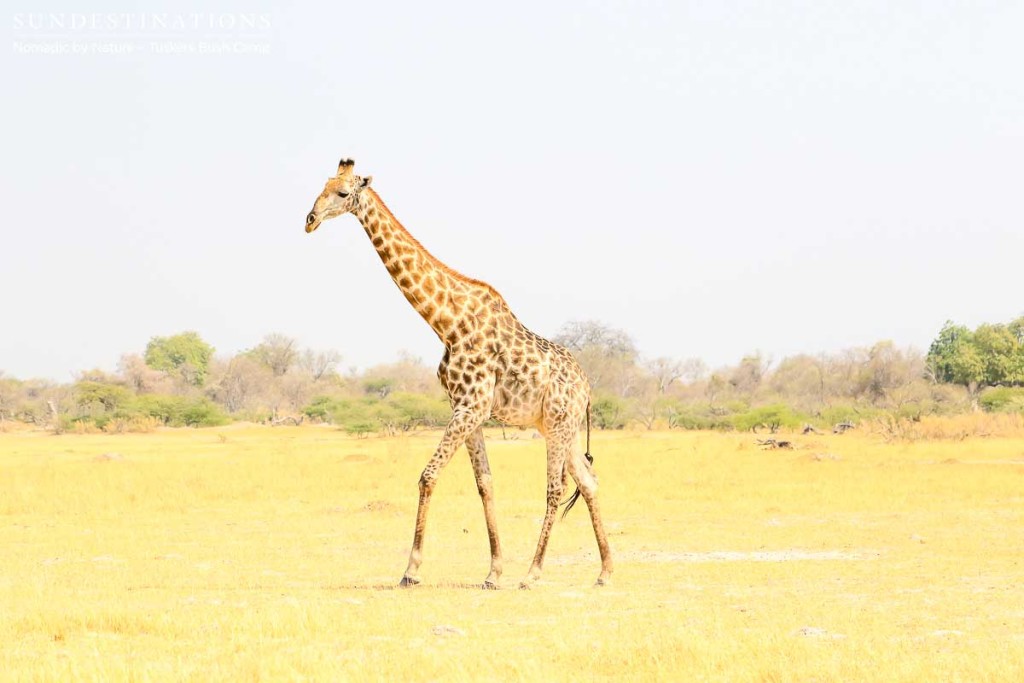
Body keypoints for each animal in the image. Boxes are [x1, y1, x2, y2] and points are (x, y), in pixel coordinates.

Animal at [301, 158, 606, 589]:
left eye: (343, 193)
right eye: (323, 185)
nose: (309, 220)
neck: (446, 322)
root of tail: (587, 388)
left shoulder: (471, 406)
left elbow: (428, 476)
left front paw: (411, 571)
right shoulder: (465, 408)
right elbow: (485, 484)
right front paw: (493, 572)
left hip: (561, 424)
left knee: (555, 487)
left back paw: (533, 573)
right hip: (559, 426)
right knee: (589, 482)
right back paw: (605, 571)